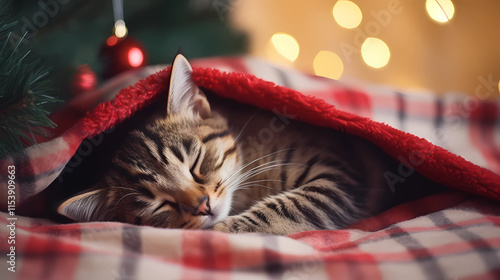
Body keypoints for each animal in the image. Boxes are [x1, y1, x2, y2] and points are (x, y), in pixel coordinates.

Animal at [56, 54, 444, 234]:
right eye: (158, 204)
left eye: (196, 162)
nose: (202, 206)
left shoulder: (338, 173)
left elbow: (285, 208)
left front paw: (224, 228)